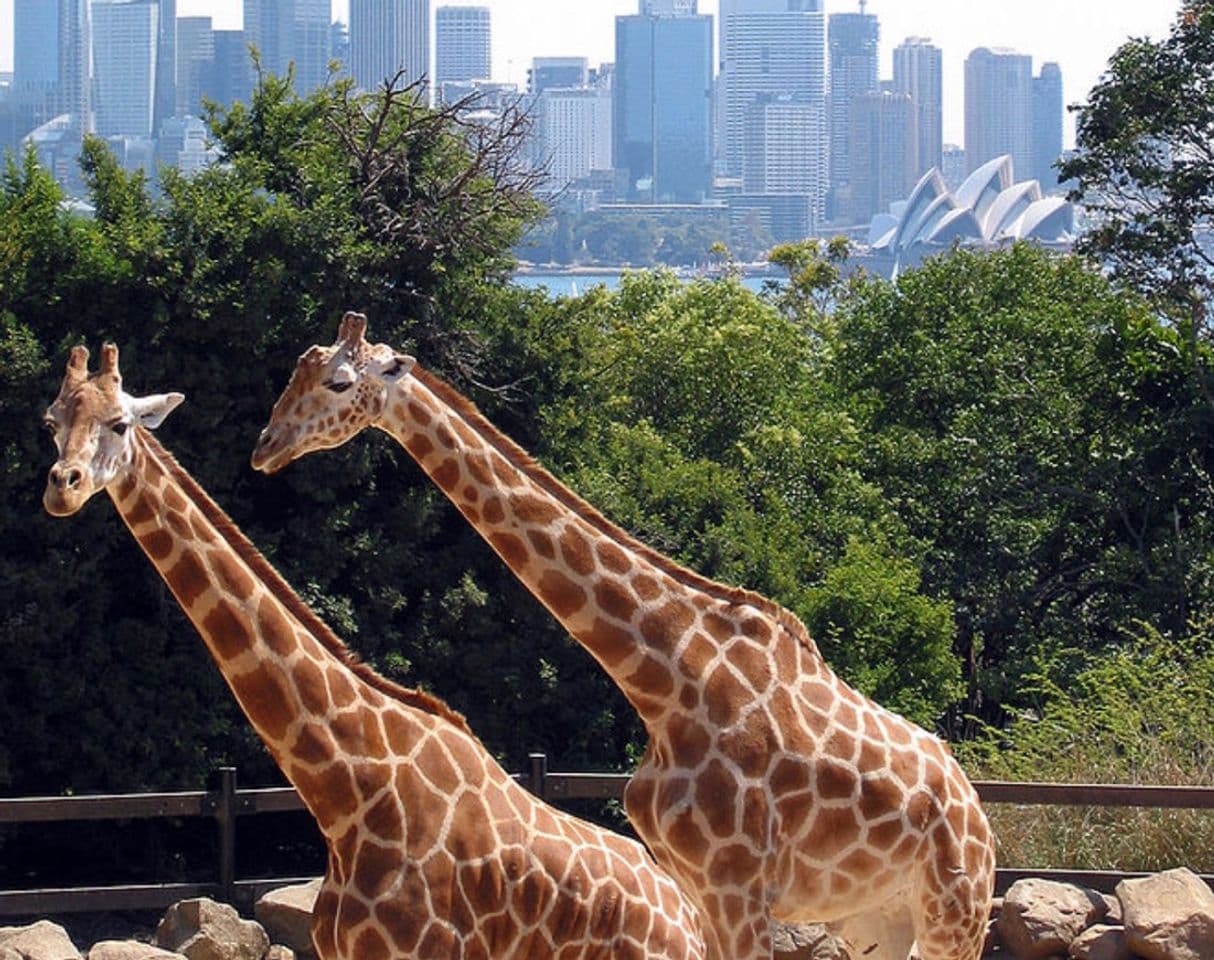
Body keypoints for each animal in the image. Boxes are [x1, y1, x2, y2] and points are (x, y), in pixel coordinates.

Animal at [253, 315, 995, 960]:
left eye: (339, 383)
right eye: (297, 370)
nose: (266, 446)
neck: (665, 678)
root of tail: (977, 811)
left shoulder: (738, 888)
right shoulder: (697, 888)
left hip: (954, 909)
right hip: (877, 919)